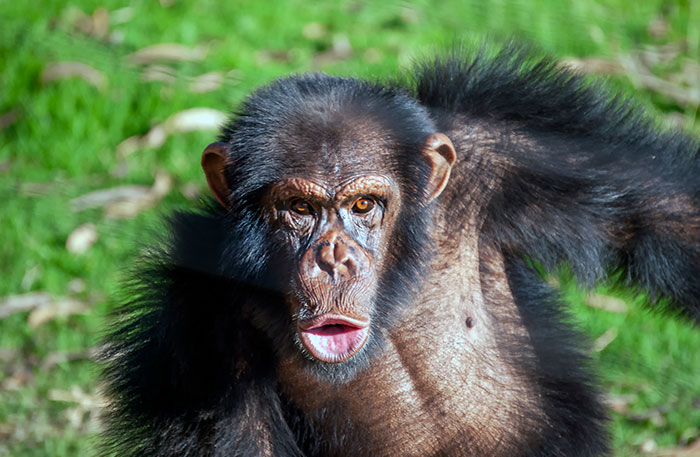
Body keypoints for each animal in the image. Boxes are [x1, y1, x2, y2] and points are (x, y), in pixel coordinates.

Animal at [101, 43, 700, 457]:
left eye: (364, 204)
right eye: (299, 208)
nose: (334, 257)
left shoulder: (512, 146)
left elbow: (664, 210)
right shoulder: (199, 319)